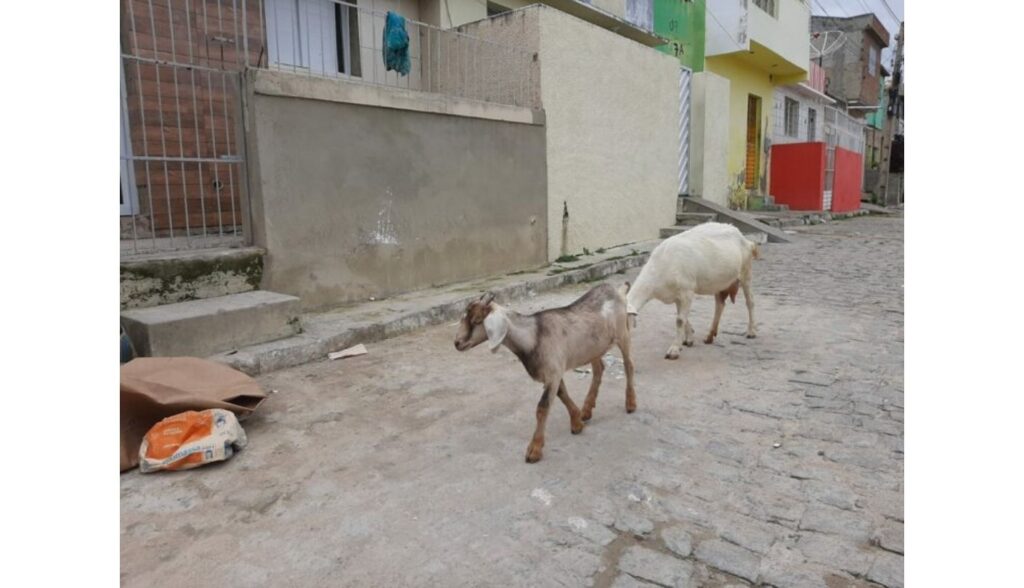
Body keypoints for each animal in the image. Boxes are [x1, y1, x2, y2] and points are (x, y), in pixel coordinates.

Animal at [454, 284, 634, 465]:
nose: (457, 343)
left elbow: (542, 407)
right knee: (599, 369)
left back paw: (631, 404)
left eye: (477, 320)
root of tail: (615, 289)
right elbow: (562, 394)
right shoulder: (554, 372)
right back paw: (586, 410)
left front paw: (534, 450)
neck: (533, 336)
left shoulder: (553, 372)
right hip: (593, 348)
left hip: (623, 333)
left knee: (628, 366)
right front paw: (577, 422)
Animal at [622, 221, 761, 360]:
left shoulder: (687, 291)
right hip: (719, 281)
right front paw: (689, 339)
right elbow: (682, 316)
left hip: (746, 272)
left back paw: (751, 331)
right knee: (720, 304)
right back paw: (709, 336)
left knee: (750, 302)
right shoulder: (677, 295)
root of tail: (744, 238)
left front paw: (674, 350)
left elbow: (679, 320)